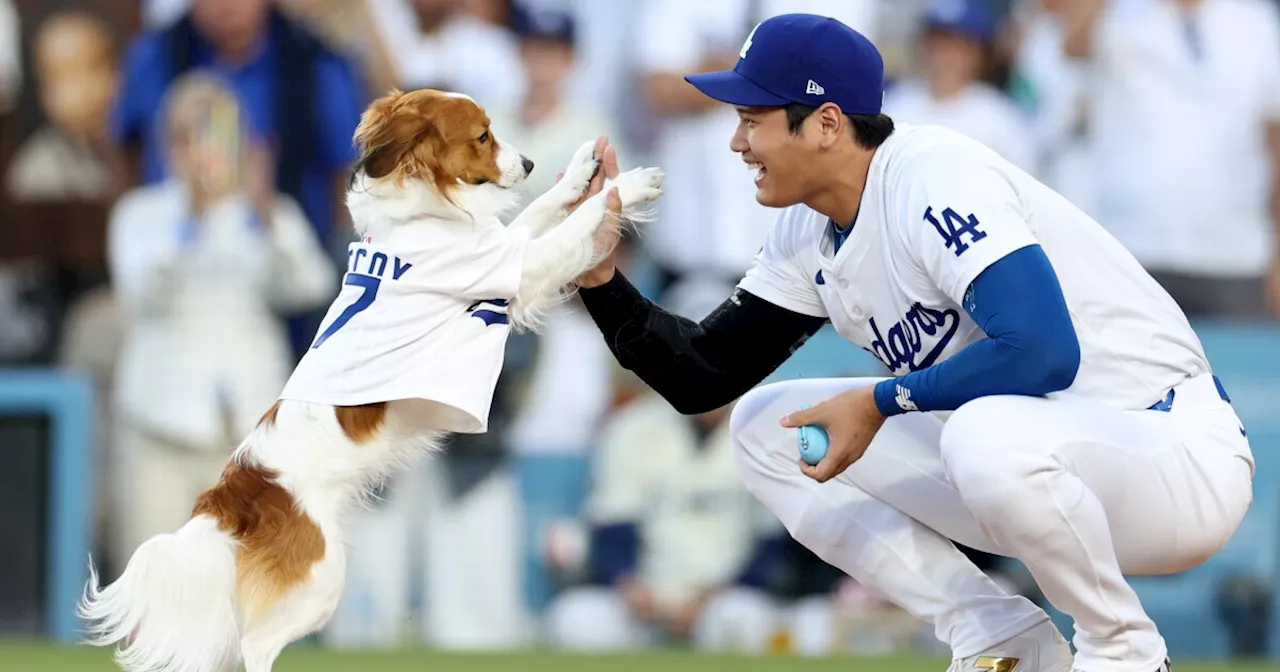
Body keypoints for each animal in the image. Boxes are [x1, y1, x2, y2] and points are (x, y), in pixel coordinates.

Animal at [78, 88, 665, 670]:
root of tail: (232, 496)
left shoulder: (499, 249)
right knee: (254, 646)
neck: (419, 212)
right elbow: (576, 224)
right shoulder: (513, 270)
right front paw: (629, 185)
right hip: (320, 581)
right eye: (482, 136)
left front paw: (582, 170)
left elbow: (541, 211)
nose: (528, 164)